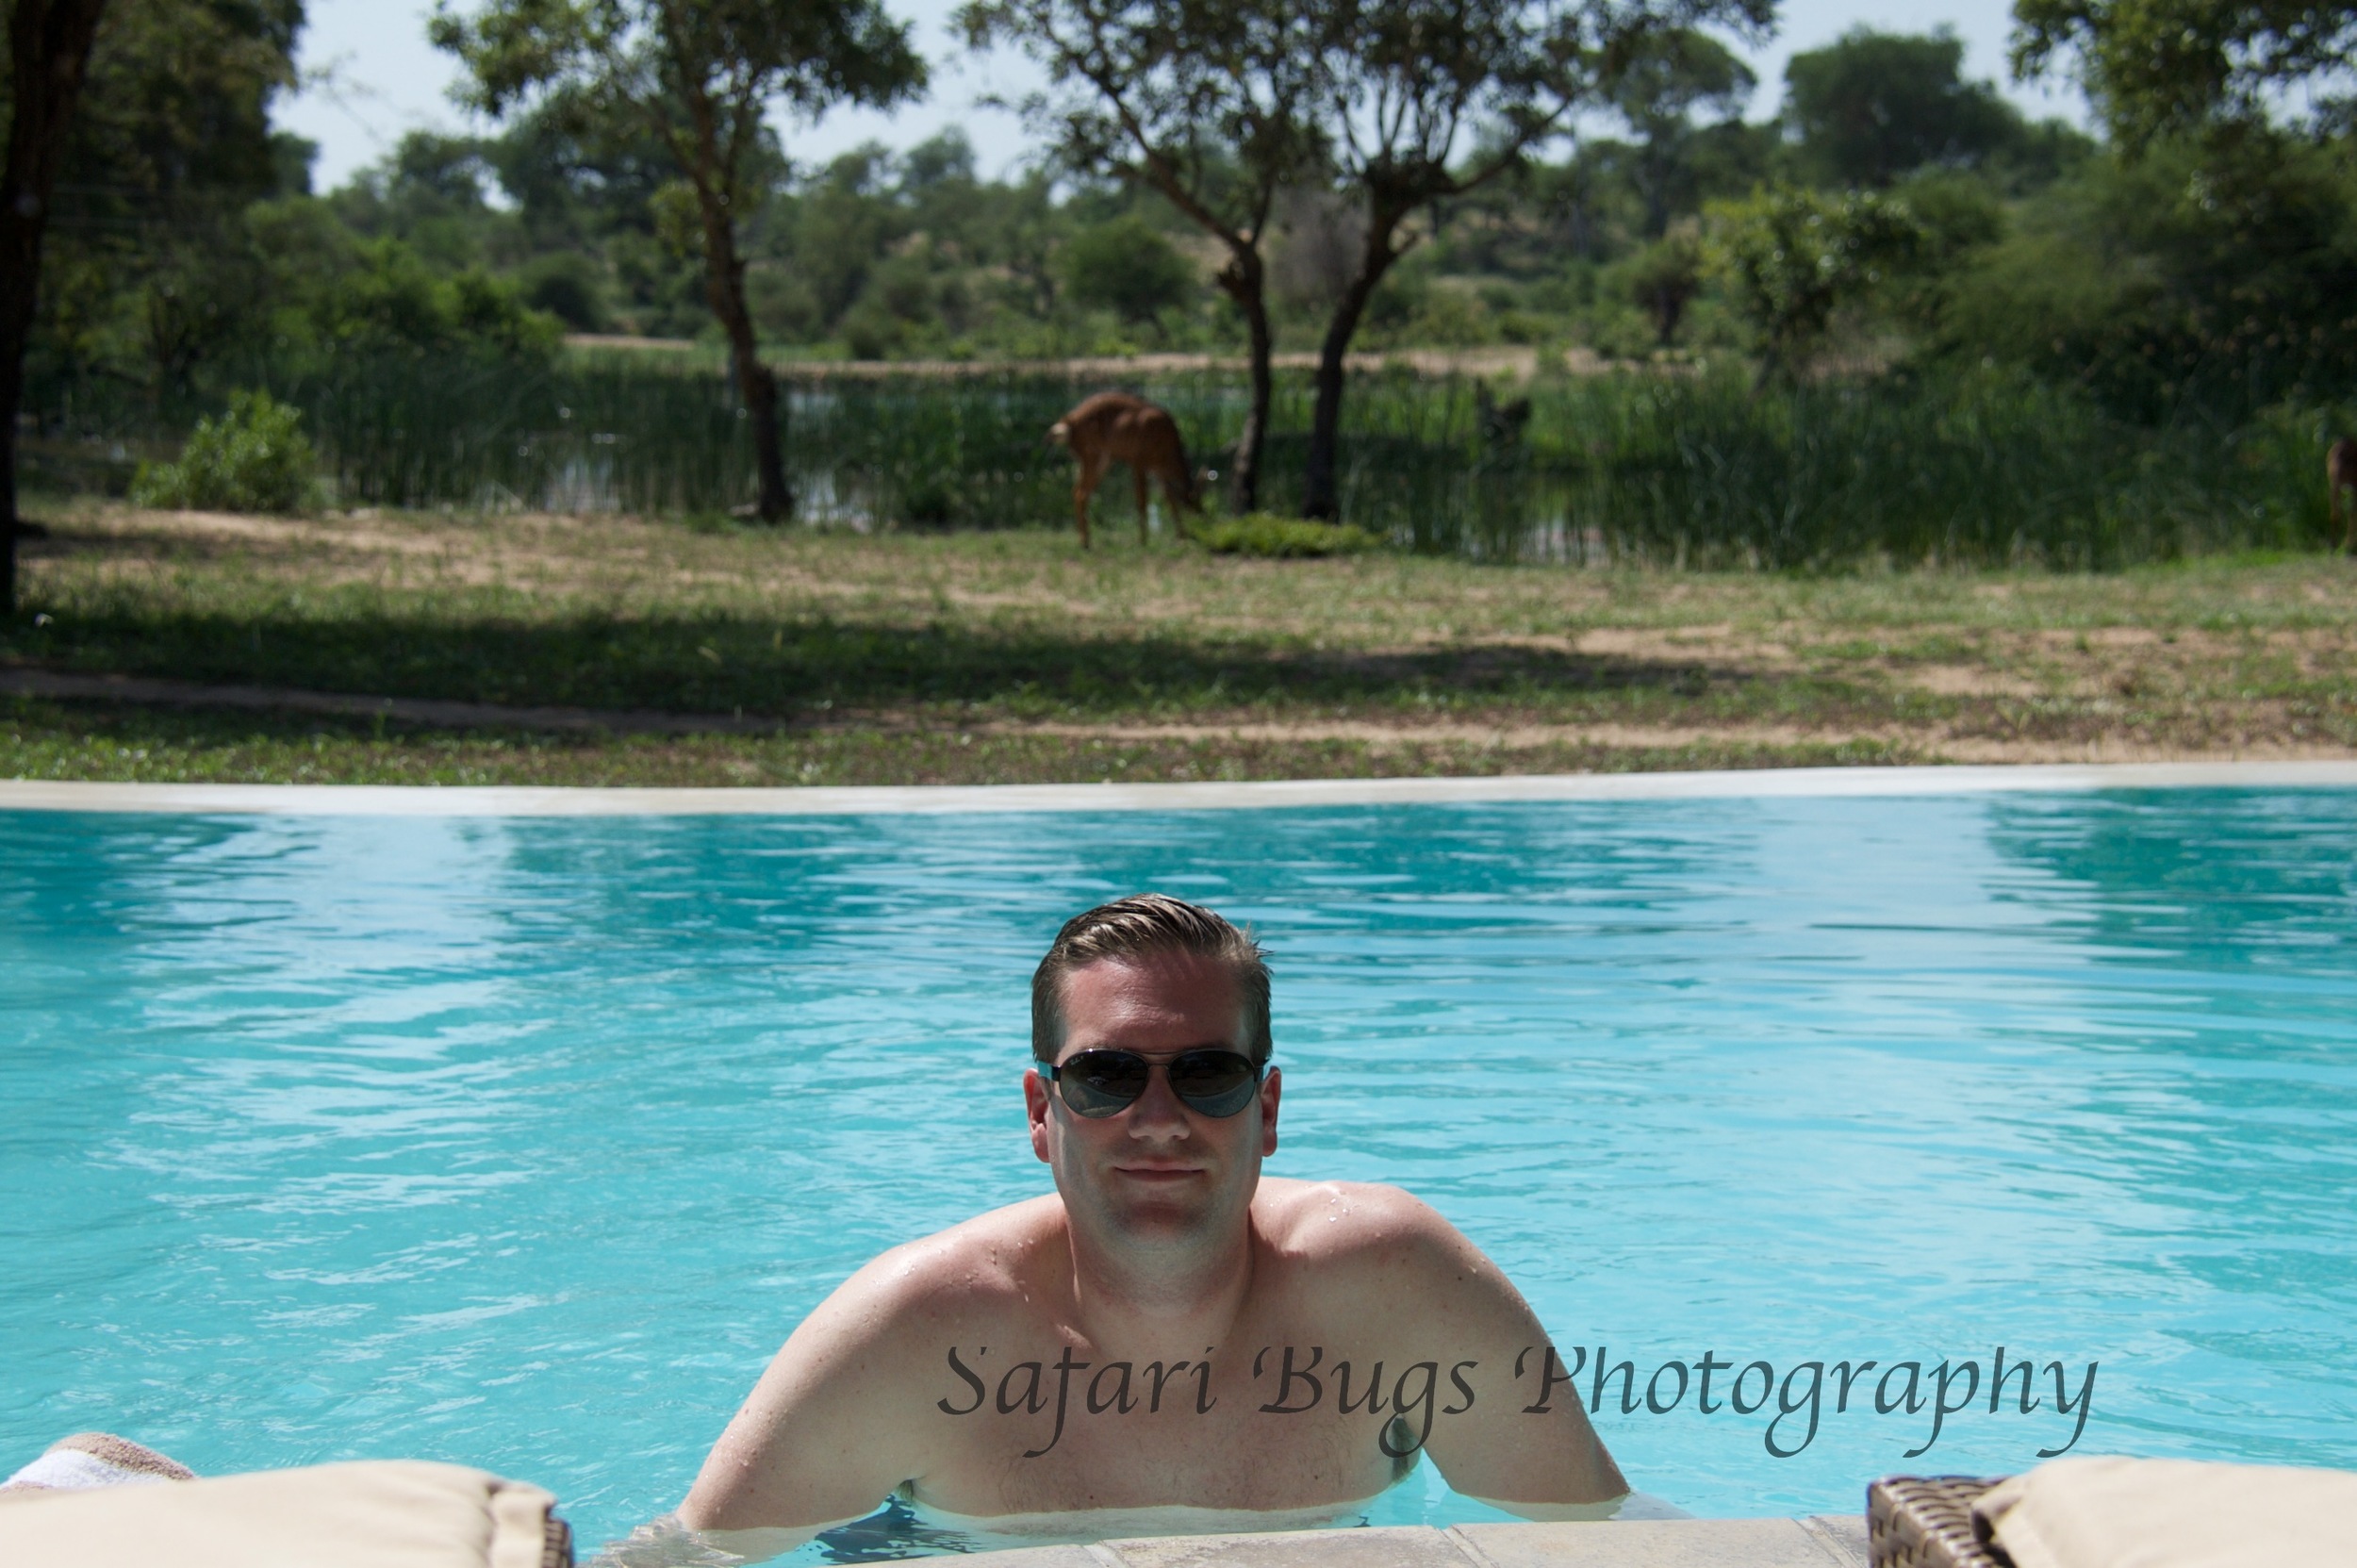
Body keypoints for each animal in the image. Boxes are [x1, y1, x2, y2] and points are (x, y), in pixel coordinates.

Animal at [1047, 388, 1207, 547]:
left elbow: (1170, 498)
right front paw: (1143, 541)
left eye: (1201, 504)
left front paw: (1181, 537)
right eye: (1193, 505)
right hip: (1092, 455)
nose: (1201, 519)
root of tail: (1068, 423)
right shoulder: (1138, 459)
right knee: (1081, 492)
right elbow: (1142, 499)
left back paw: (1085, 541)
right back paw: (1086, 542)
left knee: (1077, 491)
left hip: (1099, 459)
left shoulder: (1158, 469)